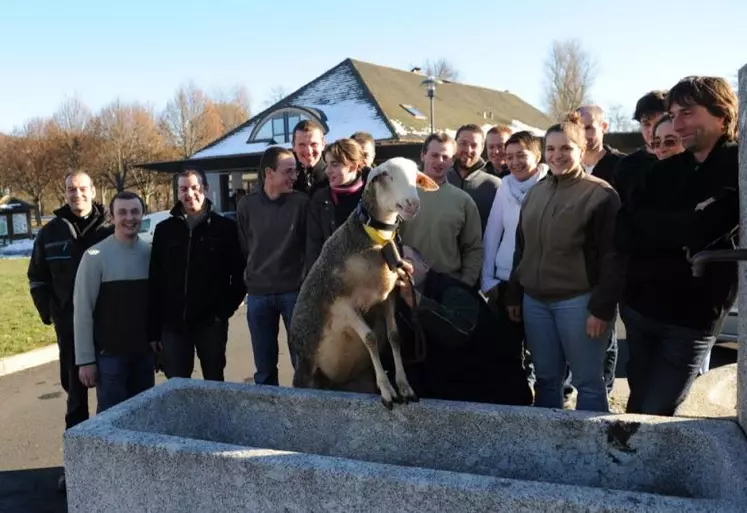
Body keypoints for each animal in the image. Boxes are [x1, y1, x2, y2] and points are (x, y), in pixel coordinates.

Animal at [288, 156, 438, 408]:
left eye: (415, 175)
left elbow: (393, 336)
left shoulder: (388, 297)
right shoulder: (342, 303)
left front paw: (404, 387)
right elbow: (370, 339)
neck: (374, 241)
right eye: (386, 175)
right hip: (306, 373)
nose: (412, 204)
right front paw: (387, 390)